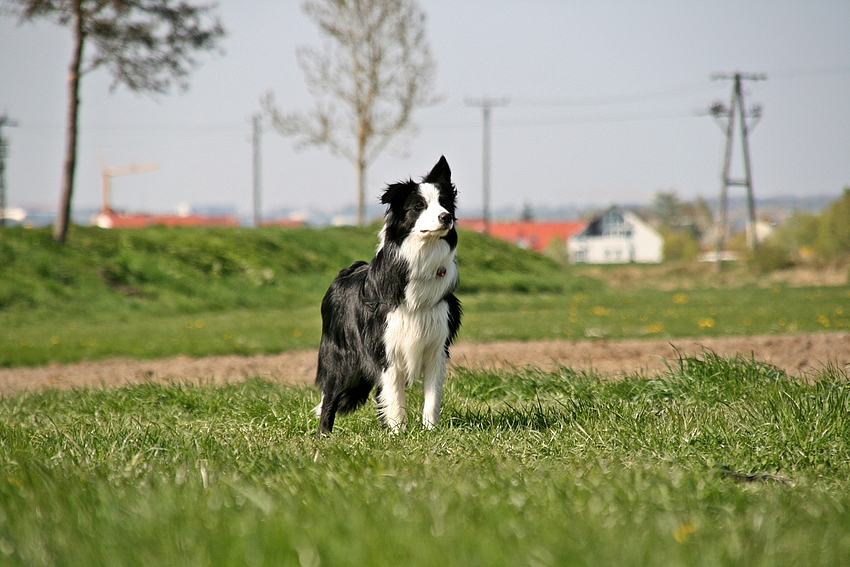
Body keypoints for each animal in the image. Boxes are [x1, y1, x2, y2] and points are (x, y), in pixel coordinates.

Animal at [314, 156, 460, 434]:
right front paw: (397, 433)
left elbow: (431, 399)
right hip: (340, 355)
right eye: (419, 205)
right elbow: (394, 398)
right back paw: (323, 436)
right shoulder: (386, 350)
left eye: (444, 203)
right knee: (330, 396)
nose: (446, 217)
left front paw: (430, 432)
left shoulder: (437, 347)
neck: (419, 261)